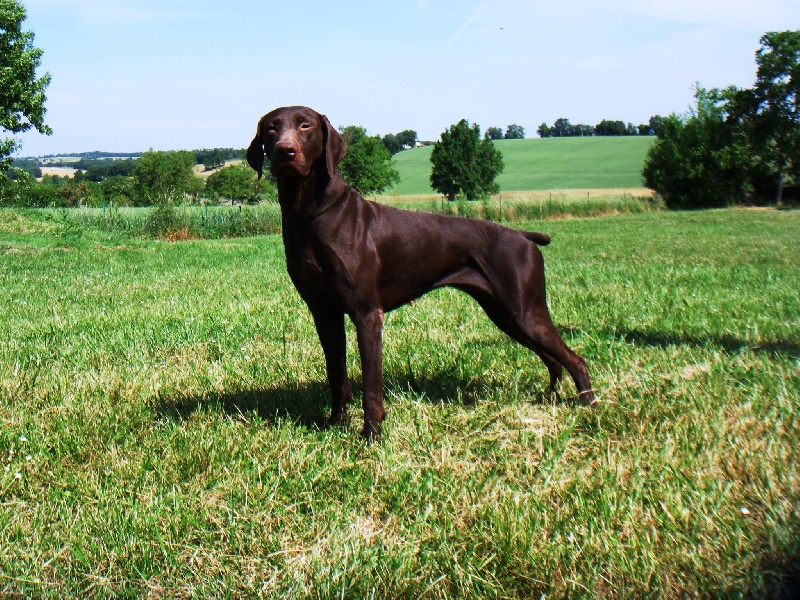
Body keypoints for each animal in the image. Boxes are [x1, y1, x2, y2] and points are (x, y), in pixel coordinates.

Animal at [248, 105, 592, 440]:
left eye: (305, 125)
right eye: (272, 128)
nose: (285, 151)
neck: (310, 214)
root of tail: (523, 236)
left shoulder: (366, 314)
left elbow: (371, 387)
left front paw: (371, 436)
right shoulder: (324, 313)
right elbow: (337, 376)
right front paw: (334, 424)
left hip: (525, 312)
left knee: (575, 359)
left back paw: (588, 405)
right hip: (506, 314)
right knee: (553, 359)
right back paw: (549, 397)